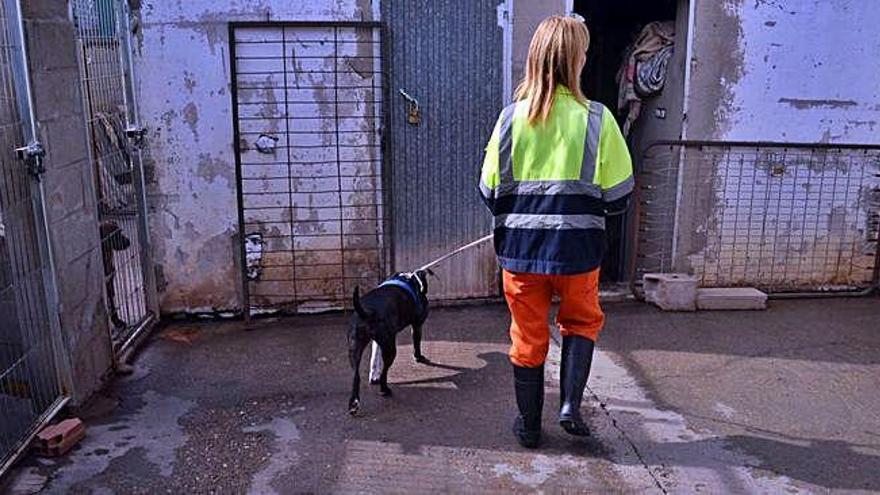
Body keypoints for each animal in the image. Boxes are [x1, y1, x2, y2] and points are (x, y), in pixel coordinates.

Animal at [350, 270, 434, 416]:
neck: (409, 278)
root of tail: (367, 312)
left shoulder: (378, 342)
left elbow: (375, 356)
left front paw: (373, 375)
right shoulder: (417, 325)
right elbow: (416, 343)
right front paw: (418, 357)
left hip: (354, 348)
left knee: (357, 376)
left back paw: (354, 404)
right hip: (390, 349)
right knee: (384, 372)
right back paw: (384, 389)